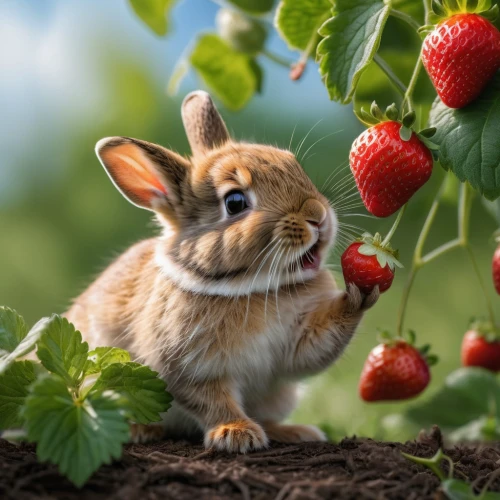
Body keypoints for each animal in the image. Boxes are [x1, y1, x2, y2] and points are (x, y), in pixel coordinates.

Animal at [66, 91, 378, 454]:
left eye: (293, 165)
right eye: (235, 202)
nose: (318, 216)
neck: (251, 287)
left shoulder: (297, 342)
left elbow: (316, 349)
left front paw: (360, 293)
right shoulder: (189, 367)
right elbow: (213, 401)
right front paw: (237, 434)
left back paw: (296, 431)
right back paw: (140, 430)